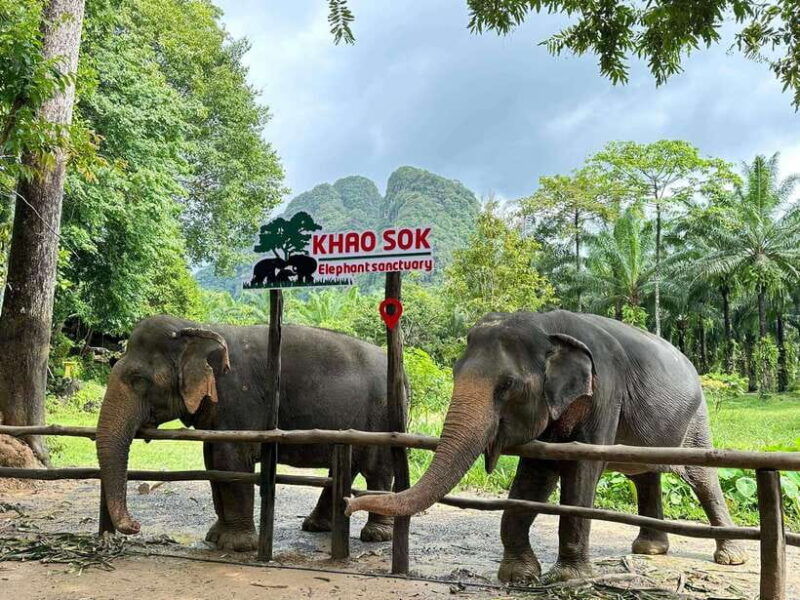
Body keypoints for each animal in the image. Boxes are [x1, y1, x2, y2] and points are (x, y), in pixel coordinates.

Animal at [96, 315, 405, 552]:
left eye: (138, 380)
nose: (135, 526)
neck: (198, 327)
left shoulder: (238, 398)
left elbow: (230, 462)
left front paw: (237, 546)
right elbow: (213, 462)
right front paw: (215, 537)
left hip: (383, 415)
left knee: (377, 468)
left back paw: (376, 535)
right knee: (345, 467)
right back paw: (316, 526)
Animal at [347, 310, 747, 583]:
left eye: (507, 386)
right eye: (456, 373)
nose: (349, 503)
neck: (547, 327)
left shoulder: (605, 391)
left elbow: (582, 471)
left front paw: (568, 578)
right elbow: (534, 476)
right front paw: (519, 575)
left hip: (696, 420)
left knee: (703, 479)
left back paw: (730, 557)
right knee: (644, 474)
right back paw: (649, 549)